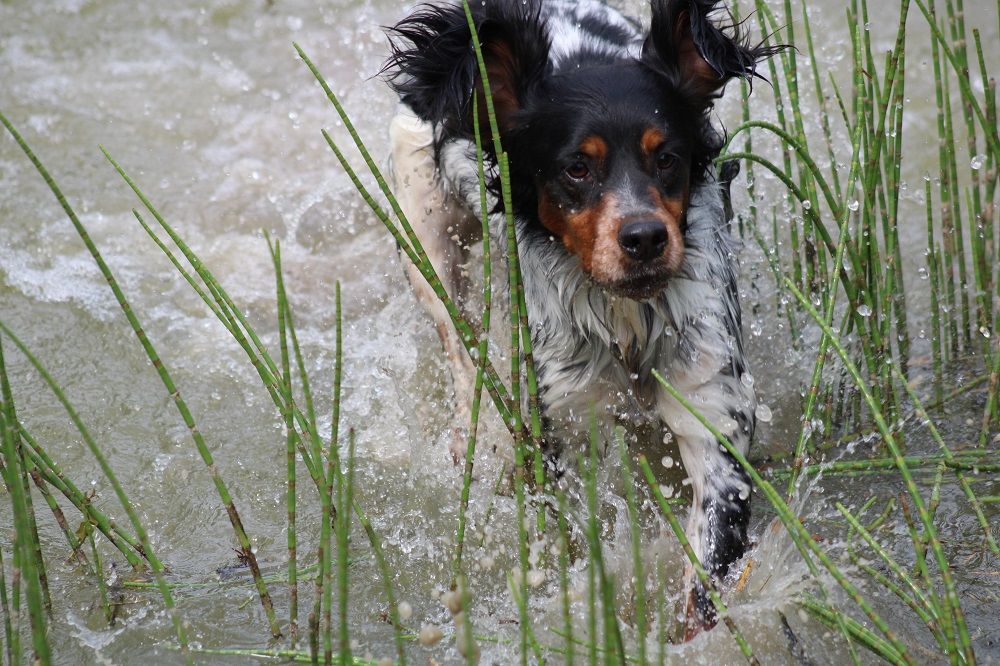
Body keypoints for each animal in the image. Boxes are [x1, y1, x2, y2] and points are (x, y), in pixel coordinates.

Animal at [382, 0, 780, 632]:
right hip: (425, 236)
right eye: (576, 168)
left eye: (666, 157)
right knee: (458, 339)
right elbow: (568, 534)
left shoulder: (711, 408)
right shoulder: (566, 419)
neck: (629, 326)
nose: (644, 237)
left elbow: (703, 576)